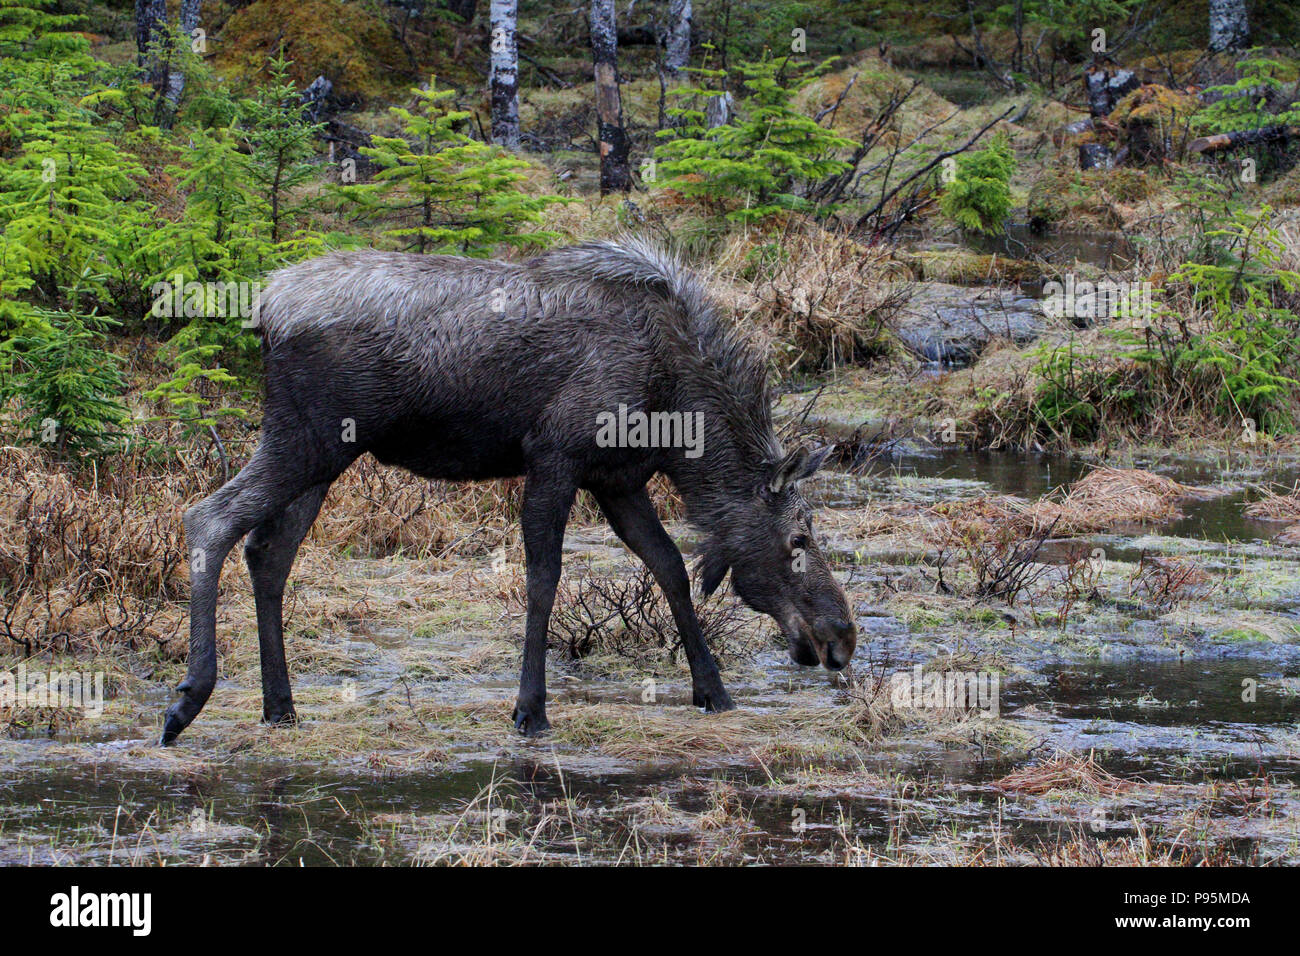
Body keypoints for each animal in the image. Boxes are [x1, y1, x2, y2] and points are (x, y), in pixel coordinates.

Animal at [159, 235, 852, 743]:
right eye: (799, 538)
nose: (842, 638)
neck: (675, 411)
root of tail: (265, 308)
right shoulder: (556, 455)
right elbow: (544, 578)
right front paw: (530, 709)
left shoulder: (617, 481)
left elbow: (670, 568)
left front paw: (713, 690)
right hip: (308, 437)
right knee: (208, 517)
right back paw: (189, 699)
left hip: (322, 455)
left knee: (268, 552)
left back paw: (280, 705)